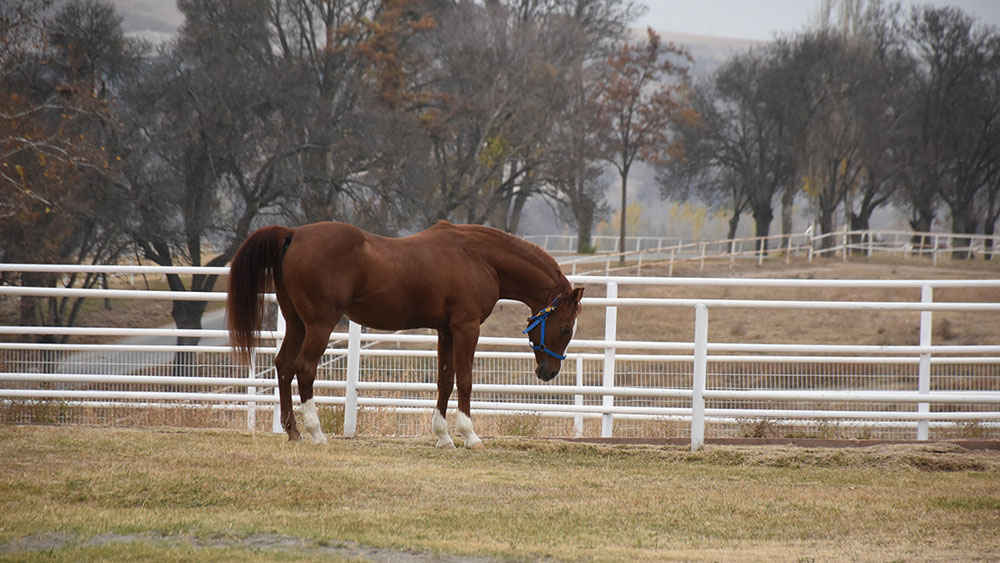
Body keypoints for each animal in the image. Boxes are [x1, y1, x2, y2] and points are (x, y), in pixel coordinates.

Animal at [225, 220, 584, 450]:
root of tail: (294, 234)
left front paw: (443, 437)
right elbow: (466, 380)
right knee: (304, 368)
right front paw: (469, 436)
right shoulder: (466, 328)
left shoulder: (445, 330)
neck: (480, 257)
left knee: (284, 366)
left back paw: (293, 431)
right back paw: (316, 432)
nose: (549, 372)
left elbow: (445, 380)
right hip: (319, 324)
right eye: (565, 328)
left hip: (297, 322)